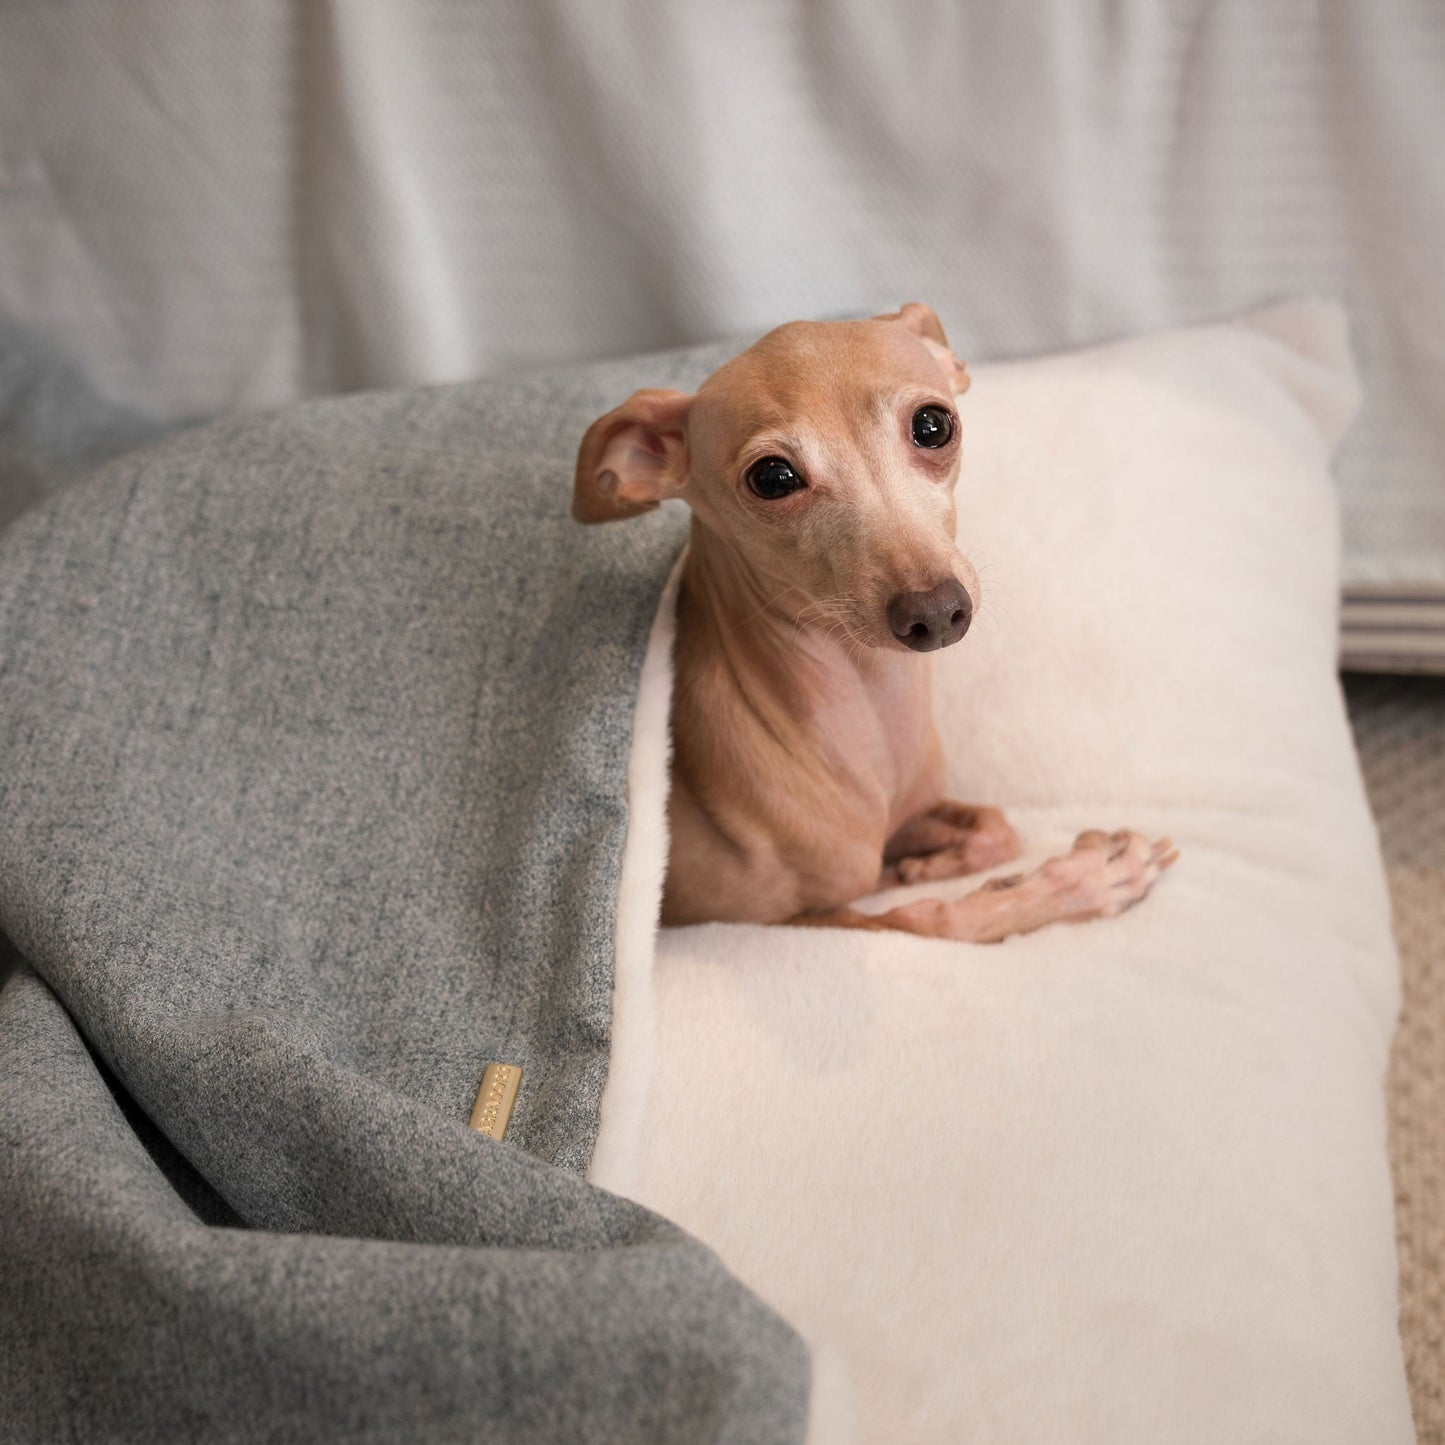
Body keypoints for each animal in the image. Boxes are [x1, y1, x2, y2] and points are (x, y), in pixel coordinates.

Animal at [569, 304, 1167, 942]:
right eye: (773, 478)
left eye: (932, 425)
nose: (934, 613)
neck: (871, 715)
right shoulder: (777, 921)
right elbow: (934, 918)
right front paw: (1089, 878)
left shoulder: (905, 814)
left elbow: (996, 827)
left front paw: (934, 861)